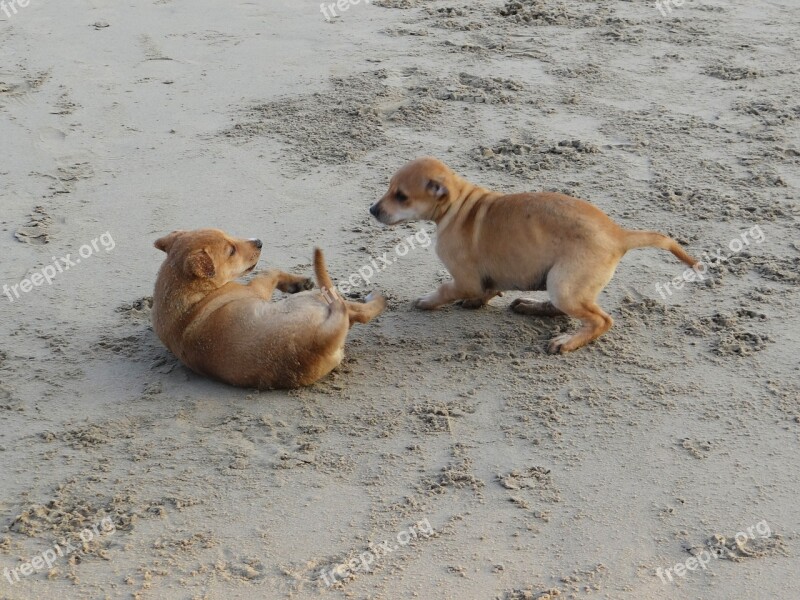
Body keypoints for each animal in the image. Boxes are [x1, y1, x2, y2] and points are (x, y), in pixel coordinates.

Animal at [154, 229, 388, 390]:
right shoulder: (256, 289)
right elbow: (270, 271)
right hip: (318, 298)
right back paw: (377, 298)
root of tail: (320, 342)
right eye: (231, 251)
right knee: (356, 311)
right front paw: (297, 282)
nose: (259, 242)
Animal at [370, 159, 700, 354]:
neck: (458, 206)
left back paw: (567, 341)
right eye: (389, 188)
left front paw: (427, 301)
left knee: (600, 320)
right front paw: (478, 302)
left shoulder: (464, 280)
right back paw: (530, 306)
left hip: (563, 284)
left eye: (401, 196)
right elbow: (488, 289)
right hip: (561, 282)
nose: (373, 210)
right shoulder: (486, 278)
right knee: (564, 310)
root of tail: (619, 234)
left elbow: (444, 290)